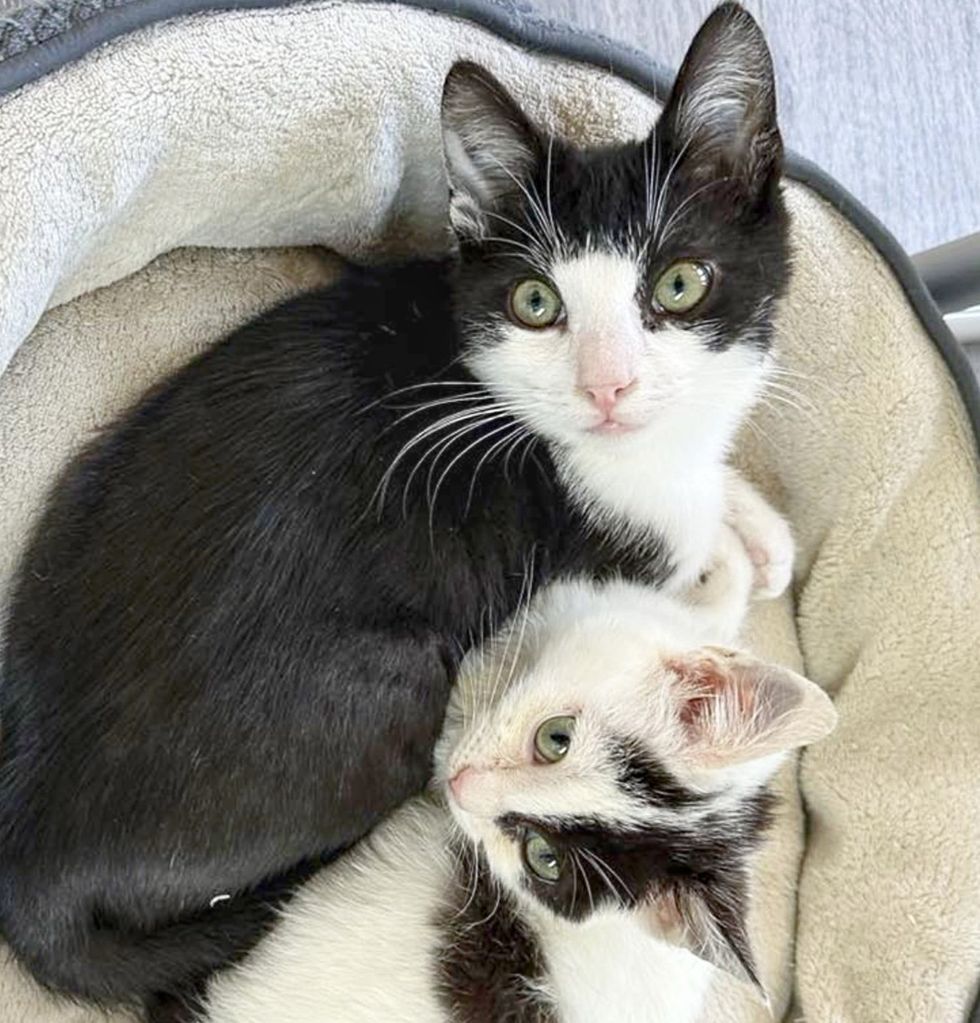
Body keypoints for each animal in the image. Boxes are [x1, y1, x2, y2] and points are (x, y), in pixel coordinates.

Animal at [0, 1, 789, 1006]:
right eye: (537, 302)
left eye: (680, 283)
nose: (608, 387)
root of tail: (28, 867)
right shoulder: (585, 570)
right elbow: (691, 584)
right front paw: (730, 553)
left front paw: (755, 519)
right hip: (398, 678)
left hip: (84, 492)